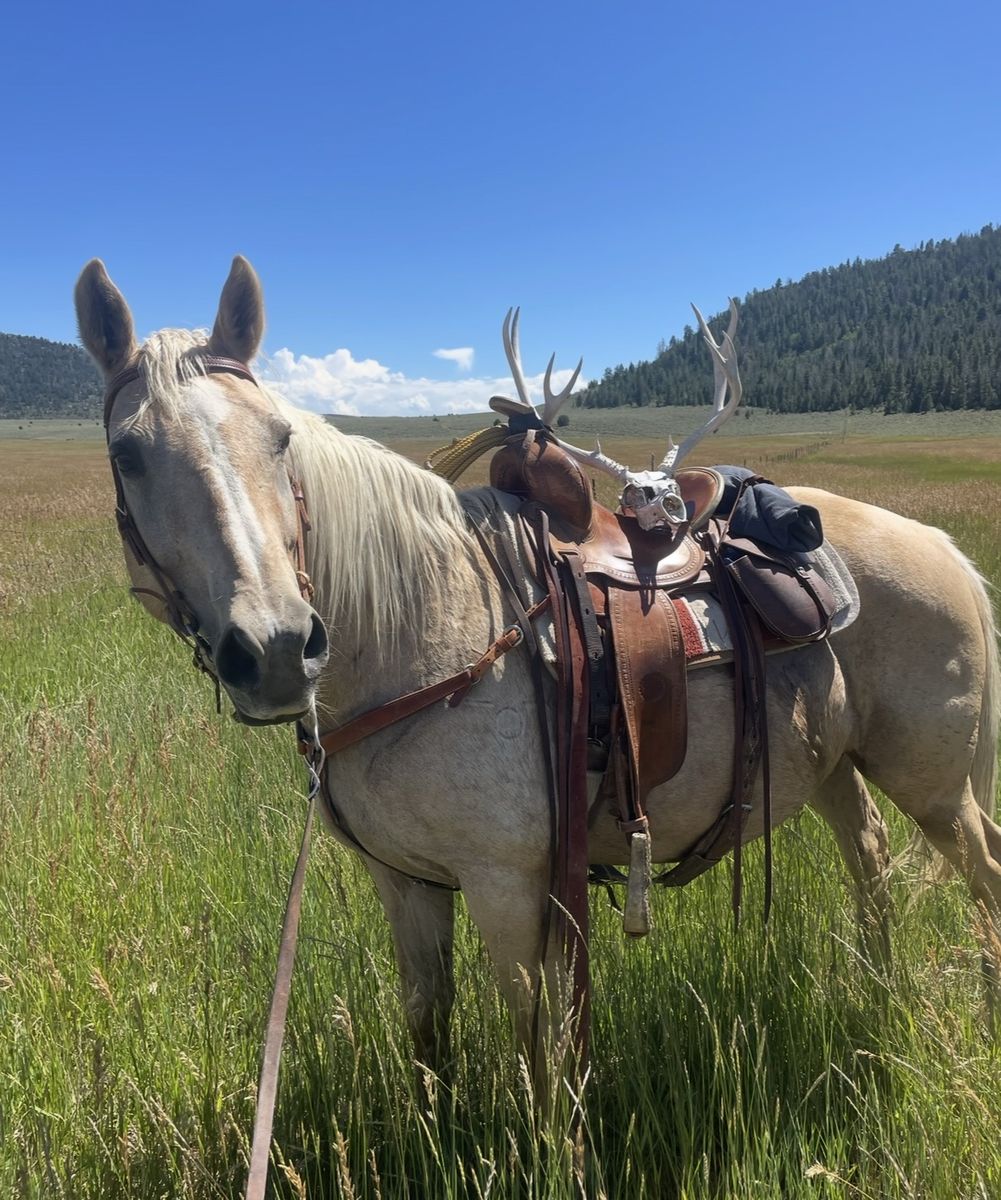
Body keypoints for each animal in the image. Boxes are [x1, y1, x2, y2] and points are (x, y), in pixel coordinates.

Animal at [74, 255, 1001, 1078]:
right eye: (127, 454)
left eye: (279, 438)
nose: (272, 647)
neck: (426, 630)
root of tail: (944, 548)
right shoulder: (404, 882)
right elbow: (428, 1029)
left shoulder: (507, 887)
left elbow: (533, 1047)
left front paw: (549, 1138)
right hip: (836, 765)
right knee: (871, 860)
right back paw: (873, 991)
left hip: (930, 784)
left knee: (981, 871)